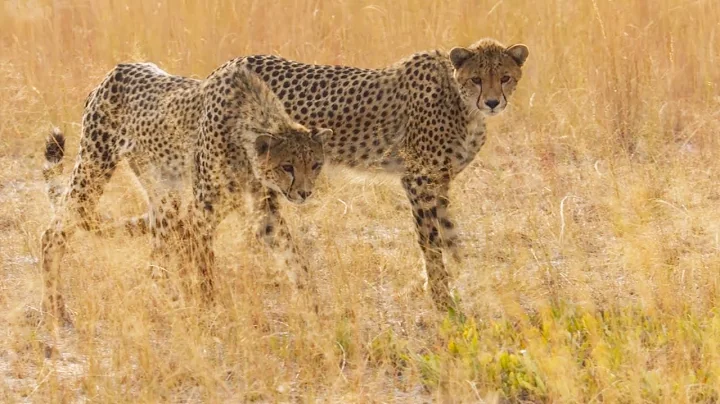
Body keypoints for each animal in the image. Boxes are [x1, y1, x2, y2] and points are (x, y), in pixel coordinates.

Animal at [41, 61, 331, 321]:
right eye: (287, 166)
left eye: (316, 164)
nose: (305, 193)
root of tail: (116, 70)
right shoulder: (201, 216)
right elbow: (204, 269)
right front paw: (209, 311)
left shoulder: (265, 213)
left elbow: (294, 257)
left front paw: (315, 309)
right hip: (94, 167)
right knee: (53, 232)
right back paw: (55, 309)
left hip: (165, 194)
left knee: (156, 262)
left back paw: (168, 303)